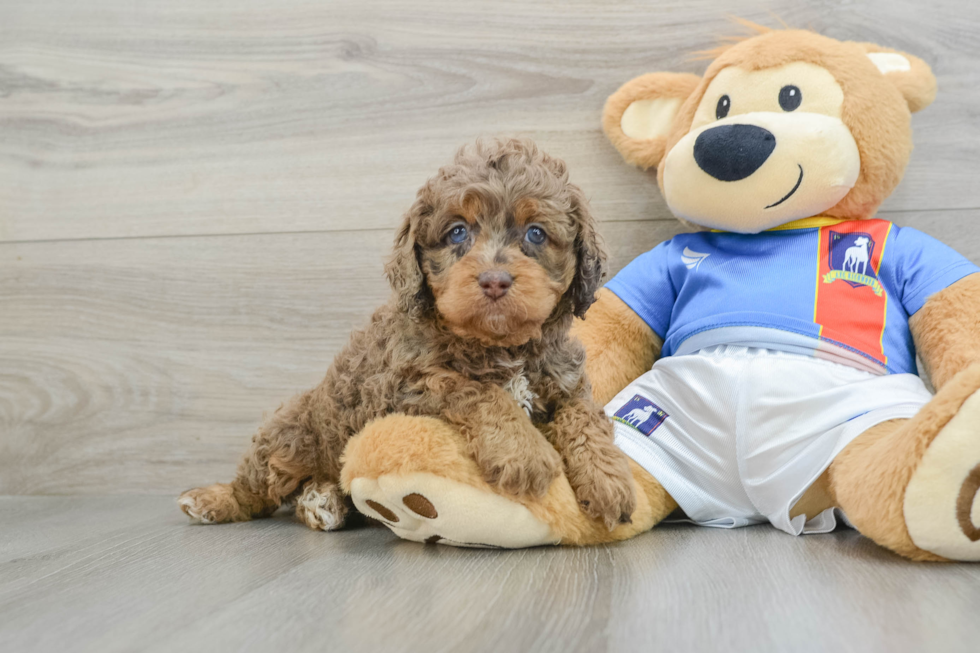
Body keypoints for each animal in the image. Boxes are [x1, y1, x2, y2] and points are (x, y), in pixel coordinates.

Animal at [178, 136, 636, 528]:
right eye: (458, 231)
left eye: (536, 233)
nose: (494, 280)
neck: (501, 346)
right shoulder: (409, 384)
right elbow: (479, 391)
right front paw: (523, 452)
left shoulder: (566, 381)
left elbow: (585, 417)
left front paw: (609, 478)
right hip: (290, 435)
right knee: (258, 486)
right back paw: (215, 499)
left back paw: (322, 501)